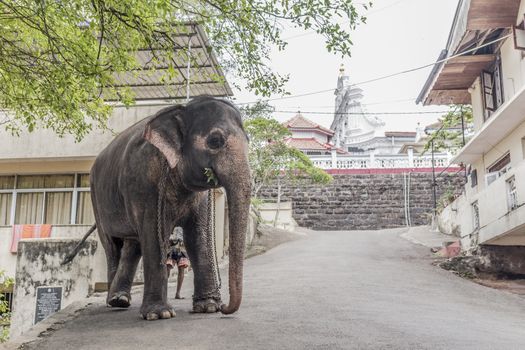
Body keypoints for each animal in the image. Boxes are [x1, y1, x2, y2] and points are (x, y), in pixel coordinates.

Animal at [87, 95, 250, 320]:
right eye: (215, 141)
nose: (224, 307)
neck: (181, 109)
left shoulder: (198, 197)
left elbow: (198, 236)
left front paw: (207, 307)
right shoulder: (144, 181)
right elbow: (155, 235)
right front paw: (159, 314)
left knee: (132, 245)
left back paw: (120, 299)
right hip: (97, 199)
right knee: (112, 247)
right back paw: (114, 301)